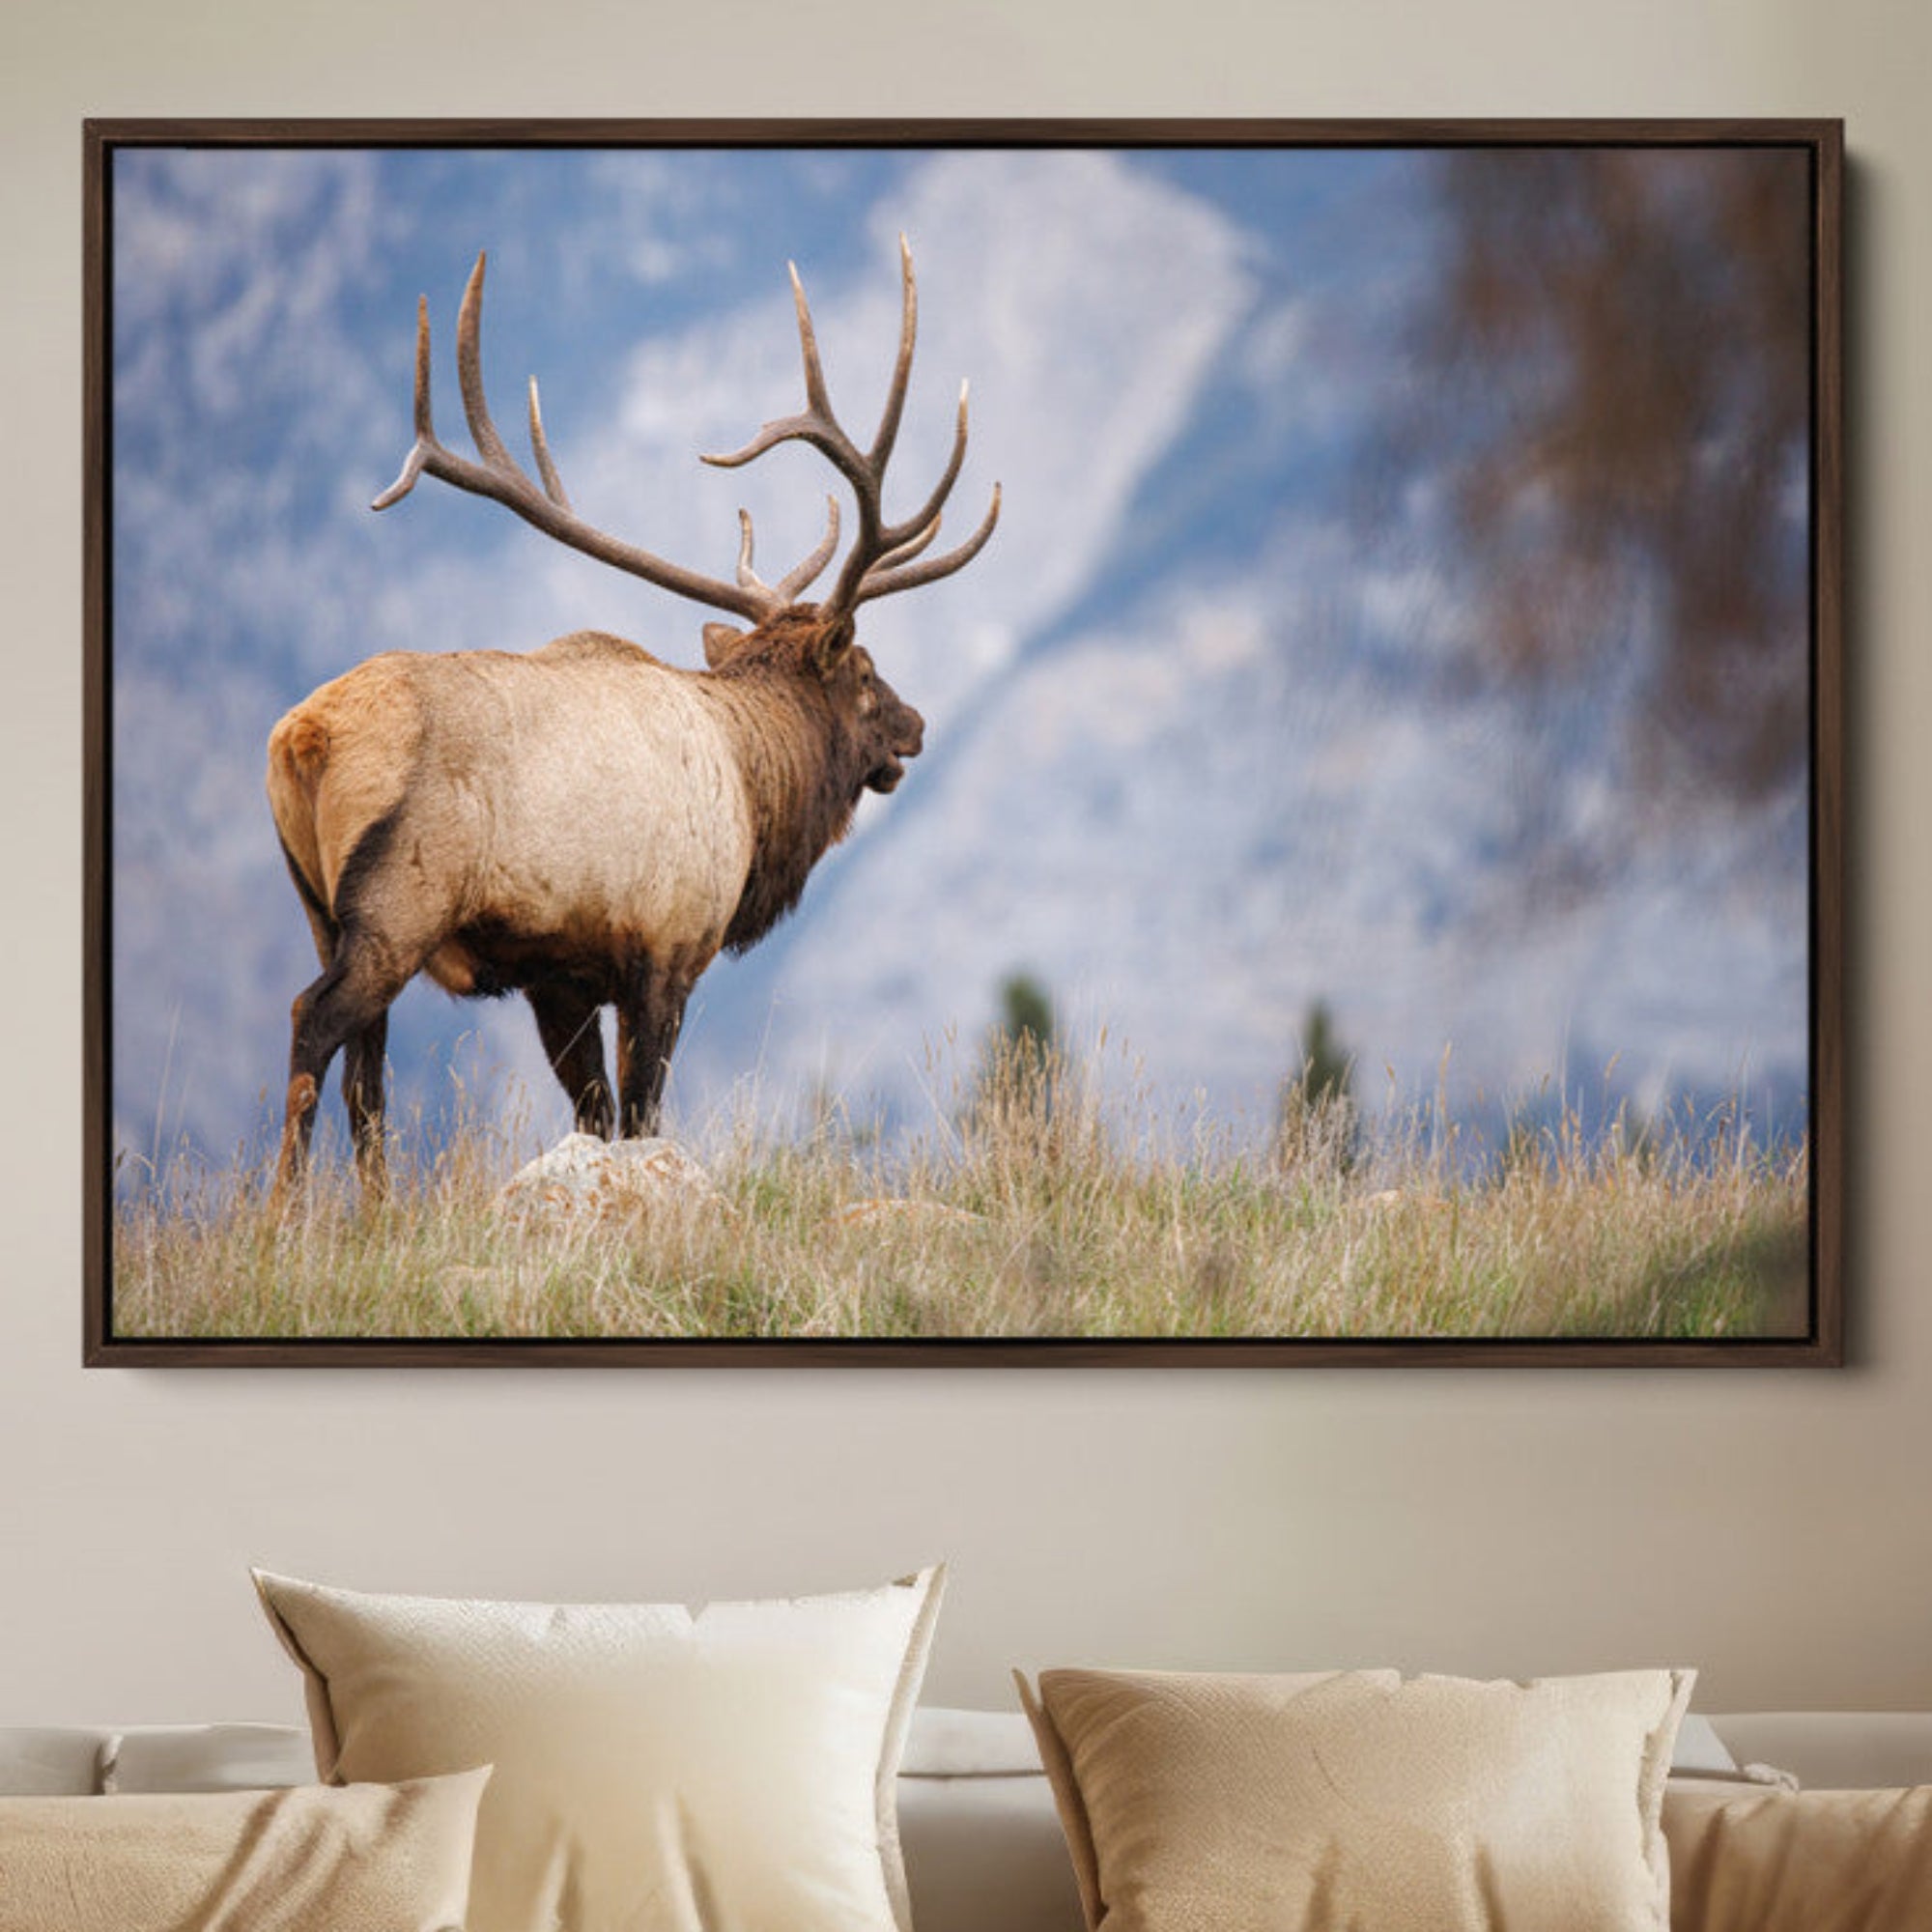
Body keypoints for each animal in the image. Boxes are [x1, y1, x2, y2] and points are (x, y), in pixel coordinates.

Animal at [266, 238, 998, 1203]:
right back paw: (276, 1211)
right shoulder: (669, 947)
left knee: (368, 1070)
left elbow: (596, 1116)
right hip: (399, 904)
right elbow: (644, 1114)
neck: (754, 792)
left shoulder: (560, 976)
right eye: (867, 673)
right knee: (315, 1022)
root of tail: (301, 738)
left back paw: (377, 1212)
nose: (917, 726)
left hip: (318, 906)